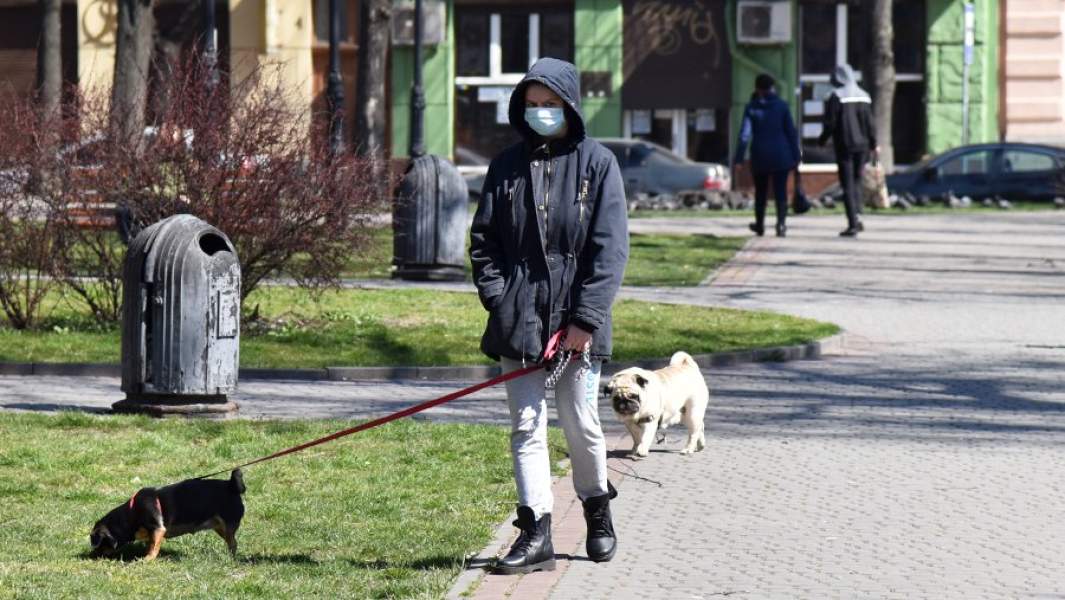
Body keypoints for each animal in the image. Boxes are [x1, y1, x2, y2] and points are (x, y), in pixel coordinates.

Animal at [89, 466, 247, 562]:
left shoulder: (158, 529)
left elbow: (153, 547)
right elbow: (150, 544)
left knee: (233, 543)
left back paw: (230, 558)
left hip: (228, 524)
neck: (131, 514)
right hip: (220, 528)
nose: (91, 556)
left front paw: (147, 559)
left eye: (98, 543)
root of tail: (231, 486)